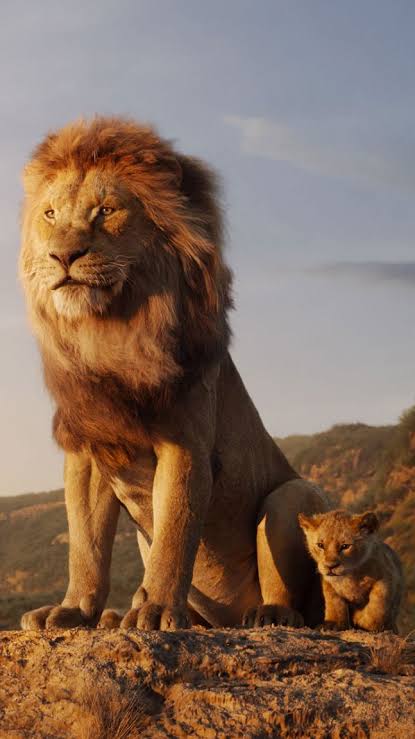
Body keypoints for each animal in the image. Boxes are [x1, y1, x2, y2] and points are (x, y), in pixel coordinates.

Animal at [19, 116, 328, 631]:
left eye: (106, 211)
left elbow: (175, 533)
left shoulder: (185, 443)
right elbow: (86, 545)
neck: (110, 333)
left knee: (294, 595)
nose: (63, 256)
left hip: (293, 495)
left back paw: (268, 614)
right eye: (50, 214)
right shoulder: (88, 450)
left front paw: (158, 610)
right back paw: (117, 616)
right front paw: (74, 610)